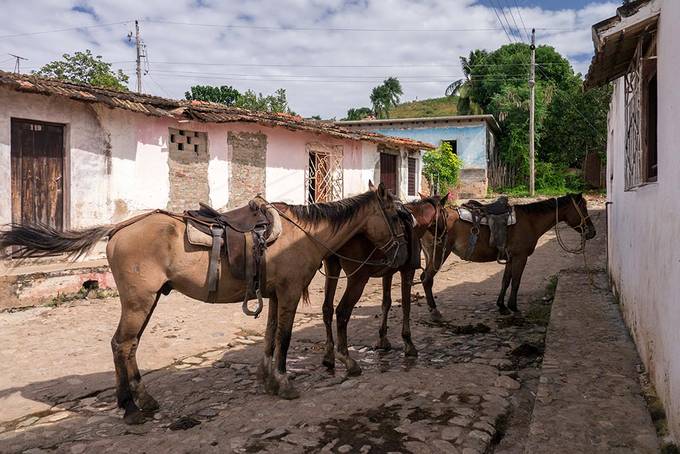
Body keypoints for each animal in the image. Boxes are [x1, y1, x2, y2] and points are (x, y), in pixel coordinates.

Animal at [0, 183, 406, 424]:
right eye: (396, 216)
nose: (398, 256)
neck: (303, 233)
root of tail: (117, 229)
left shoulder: (275, 295)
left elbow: (270, 336)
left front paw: (267, 379)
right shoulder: (289, 293)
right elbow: (286, 339)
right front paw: (284, 382)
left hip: (146, 301)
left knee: (127, 346)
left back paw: (139, 400)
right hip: (138, 301)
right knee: (122, 344)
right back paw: (131, 406)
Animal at [320, 193, 448, 374]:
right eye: (446, 213)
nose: (444, 235)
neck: (415, 221)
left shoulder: (388, 272)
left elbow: (386, 303)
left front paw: (383, 339)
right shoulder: (407, 271)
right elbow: (406, 305)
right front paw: (408, 344)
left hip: (332, 269)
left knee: (327, 309)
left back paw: (329, 356)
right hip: (357, 279)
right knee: (342, 311)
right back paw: (347, 359)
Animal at [420, 193, 596, 318]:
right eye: (583, 208)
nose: (592, 232)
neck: (530, 221)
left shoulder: (511, 258)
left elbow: (505, 281)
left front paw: (502, 306)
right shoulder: (520, 257)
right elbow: (516, 282)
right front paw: (514, 307)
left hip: (430, 255)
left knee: (423, 277)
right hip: (439, 254)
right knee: (427, 279)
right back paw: (434, 311)